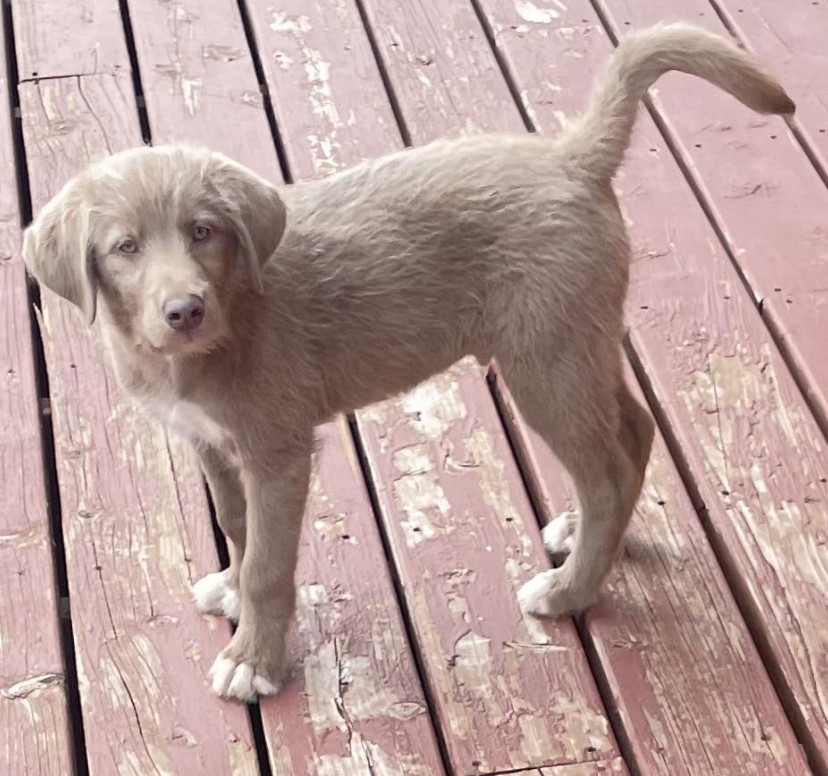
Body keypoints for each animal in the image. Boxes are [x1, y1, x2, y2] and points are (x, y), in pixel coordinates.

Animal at [22, 24, 792, 704]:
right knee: (630, 431)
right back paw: (580, 538)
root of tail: (571, 157)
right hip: (576, 343)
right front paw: (231, 588)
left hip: (544, 361)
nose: (184, 310)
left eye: (202, 232)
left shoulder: (277, 451)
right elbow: (237, 528)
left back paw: (570, 588)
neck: (208, 342)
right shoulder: (210, 443)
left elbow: (269, 562)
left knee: (606, 470)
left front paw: (254, 661)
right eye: (125, 248)